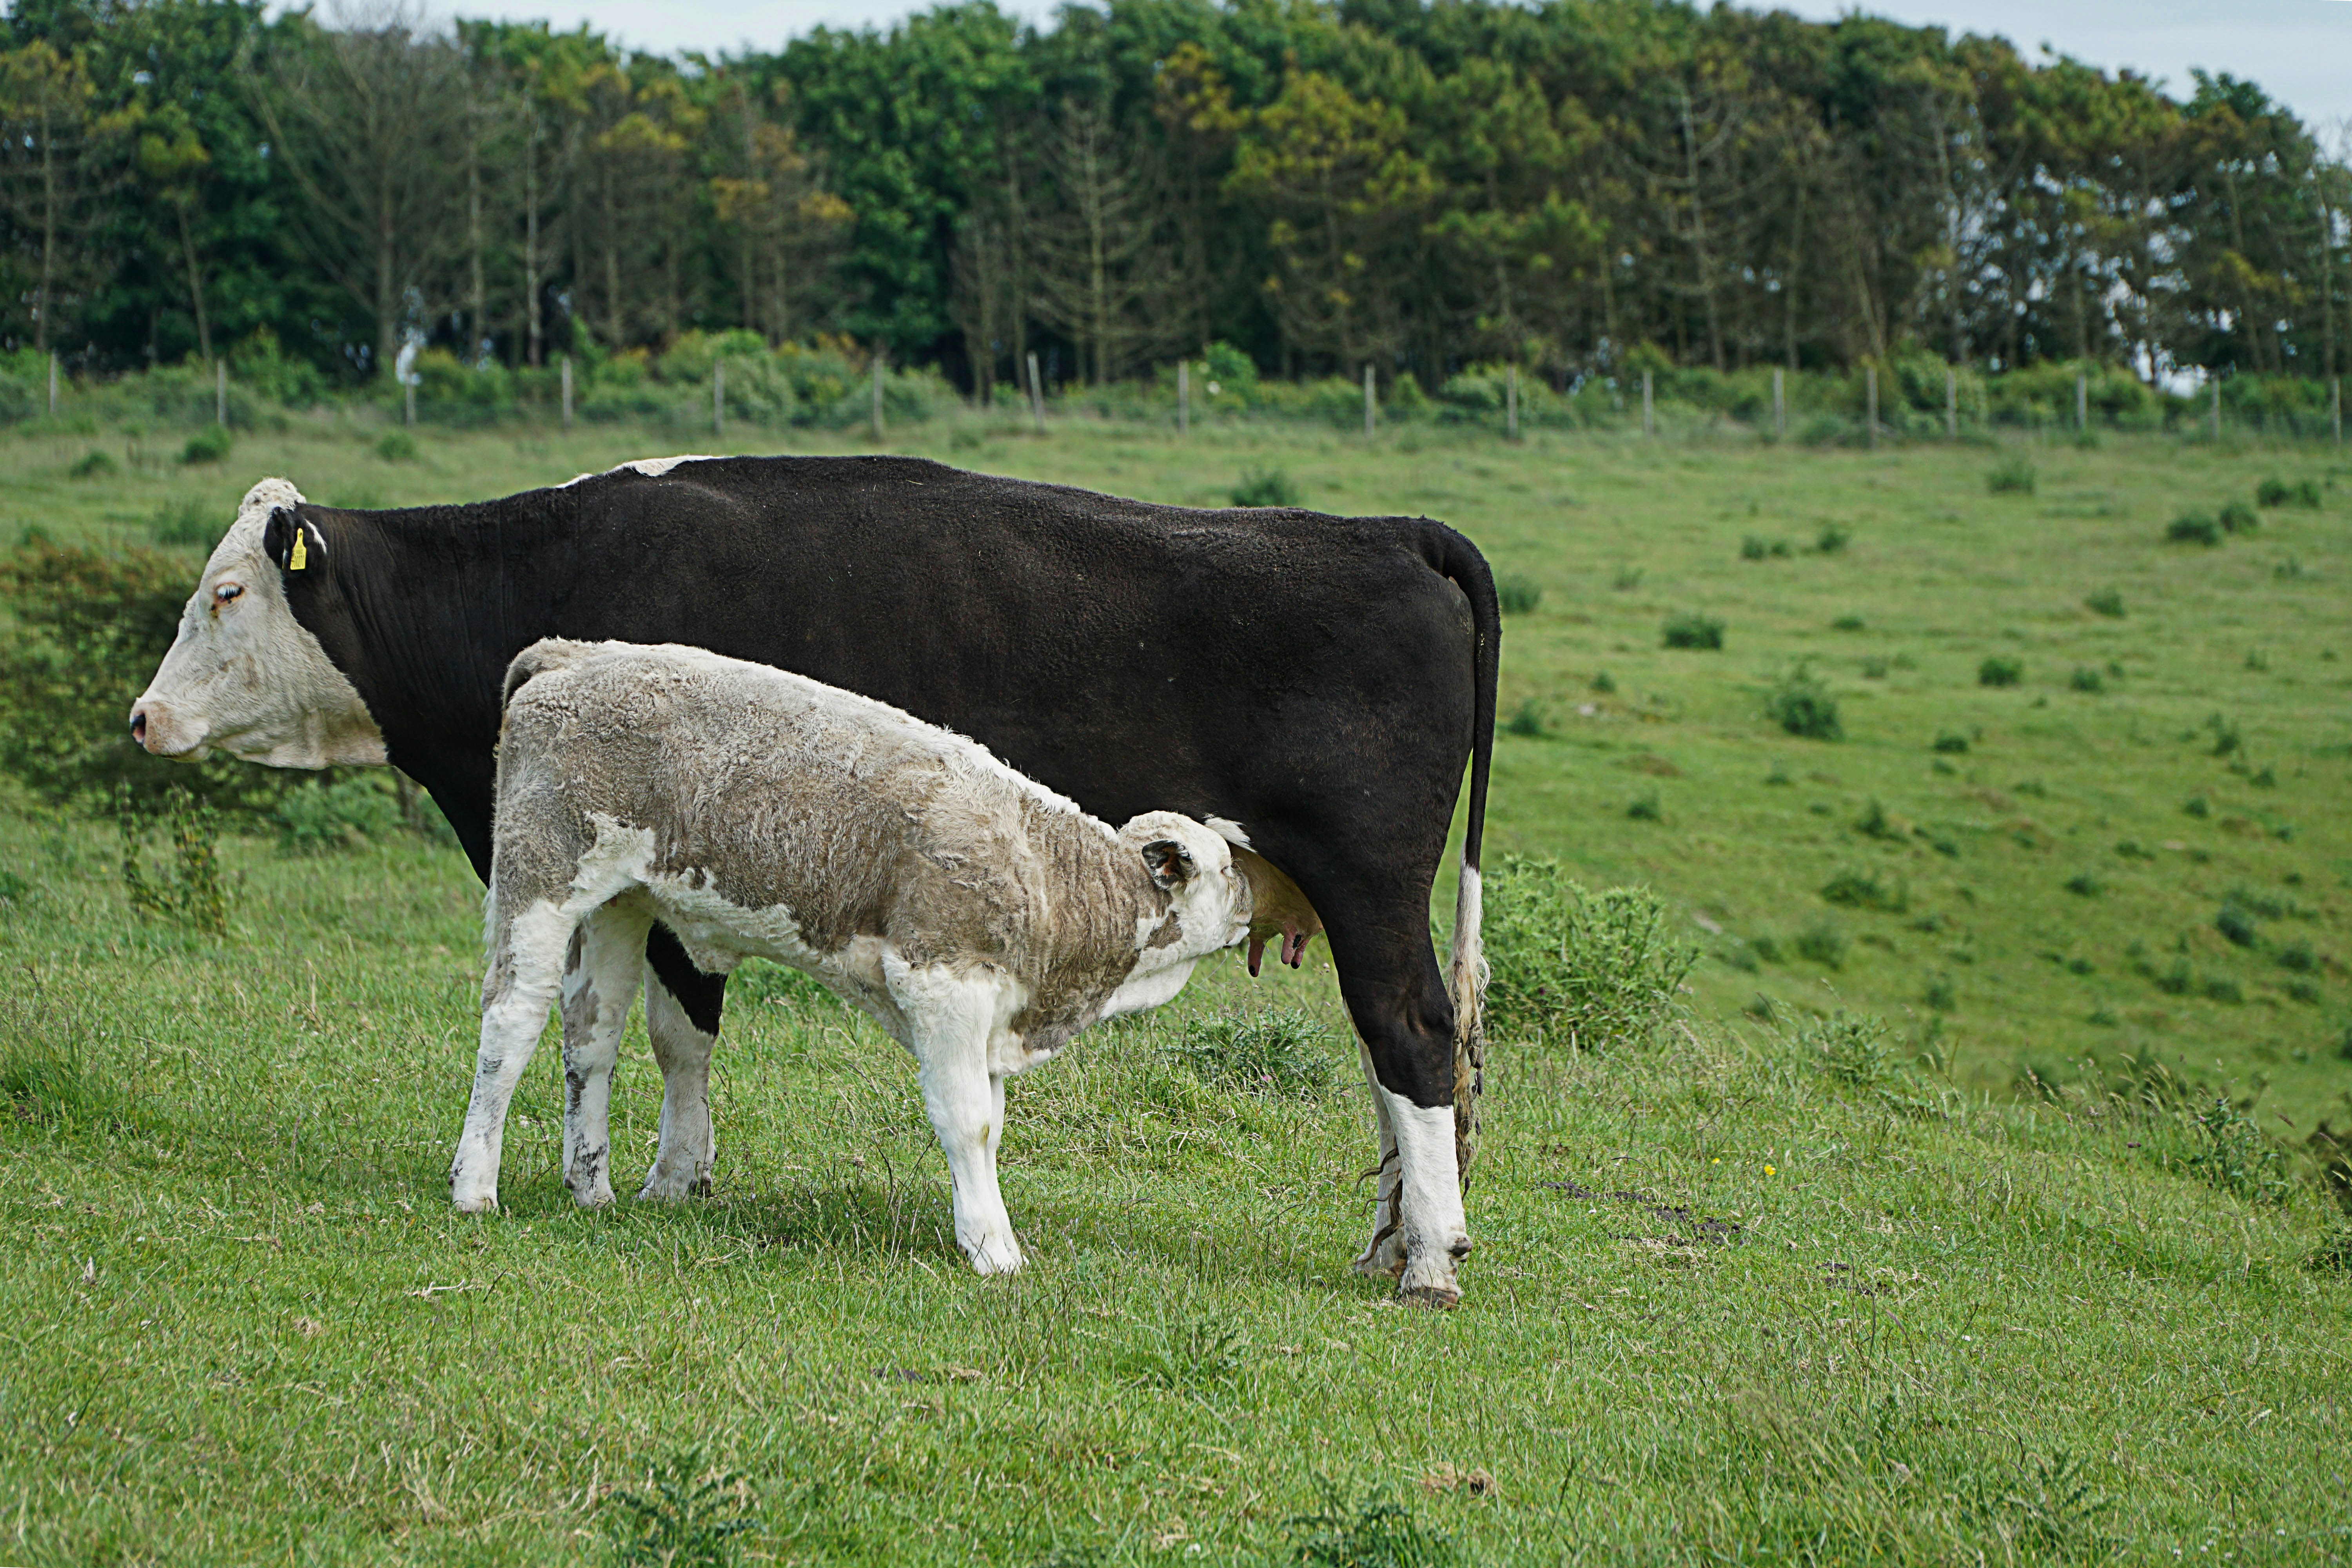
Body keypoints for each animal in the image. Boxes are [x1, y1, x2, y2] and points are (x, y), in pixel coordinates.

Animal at [462, 637, 1253, 1273]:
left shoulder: (993, 1014)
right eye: (1224, 867)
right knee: (510, 1022)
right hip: (540, 880)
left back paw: (590, 1188)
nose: (1252, 901)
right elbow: (968, 1120)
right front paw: (993, 1250)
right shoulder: (942, 983)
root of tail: (577, 654)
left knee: (591, 1040)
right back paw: (474, 1188)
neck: (1052, 878)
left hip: (618, 905)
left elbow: (991, 1127)